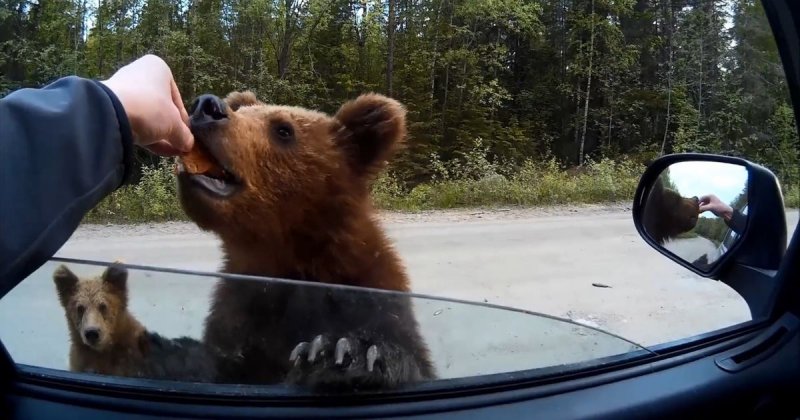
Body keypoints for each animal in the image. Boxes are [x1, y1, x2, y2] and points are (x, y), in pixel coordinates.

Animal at [175, 91, 436, 392]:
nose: (207, 106)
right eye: (243, 111)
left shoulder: (372, 295)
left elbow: (405, 355)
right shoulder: (240, 314)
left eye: (283, 129)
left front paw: (345, 352)